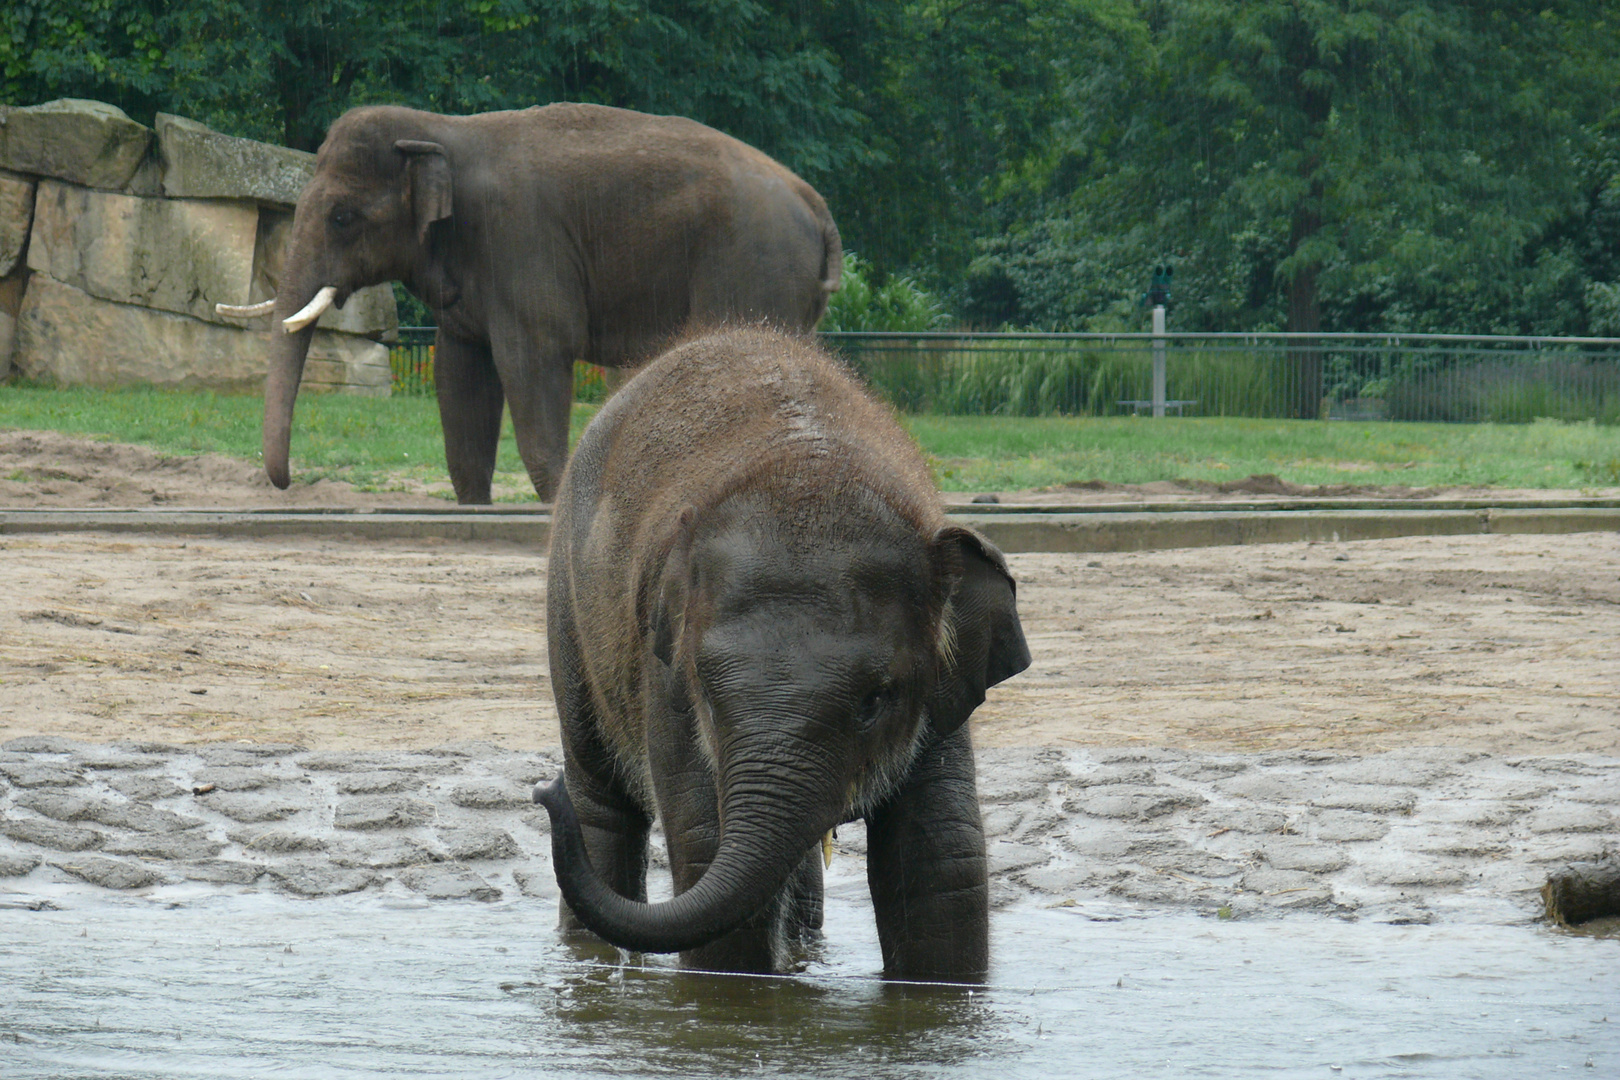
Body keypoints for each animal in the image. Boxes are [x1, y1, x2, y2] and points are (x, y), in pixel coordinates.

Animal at [217, 103, 842, 505]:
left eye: (343, 217)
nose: (285, 484)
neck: (442, 131)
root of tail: (816, 204)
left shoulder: (521, 242)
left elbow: (532, 360)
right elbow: (460, 381)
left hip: (752, 269)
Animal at [537, 327, 1030, 977]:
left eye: (876, 699)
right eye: (707, 695)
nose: (541, 793)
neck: (808, 470)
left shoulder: (944, 694)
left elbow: (941, 859)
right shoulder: (663, 674)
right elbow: (707, 844)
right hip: (568, 610)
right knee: (602, 801)